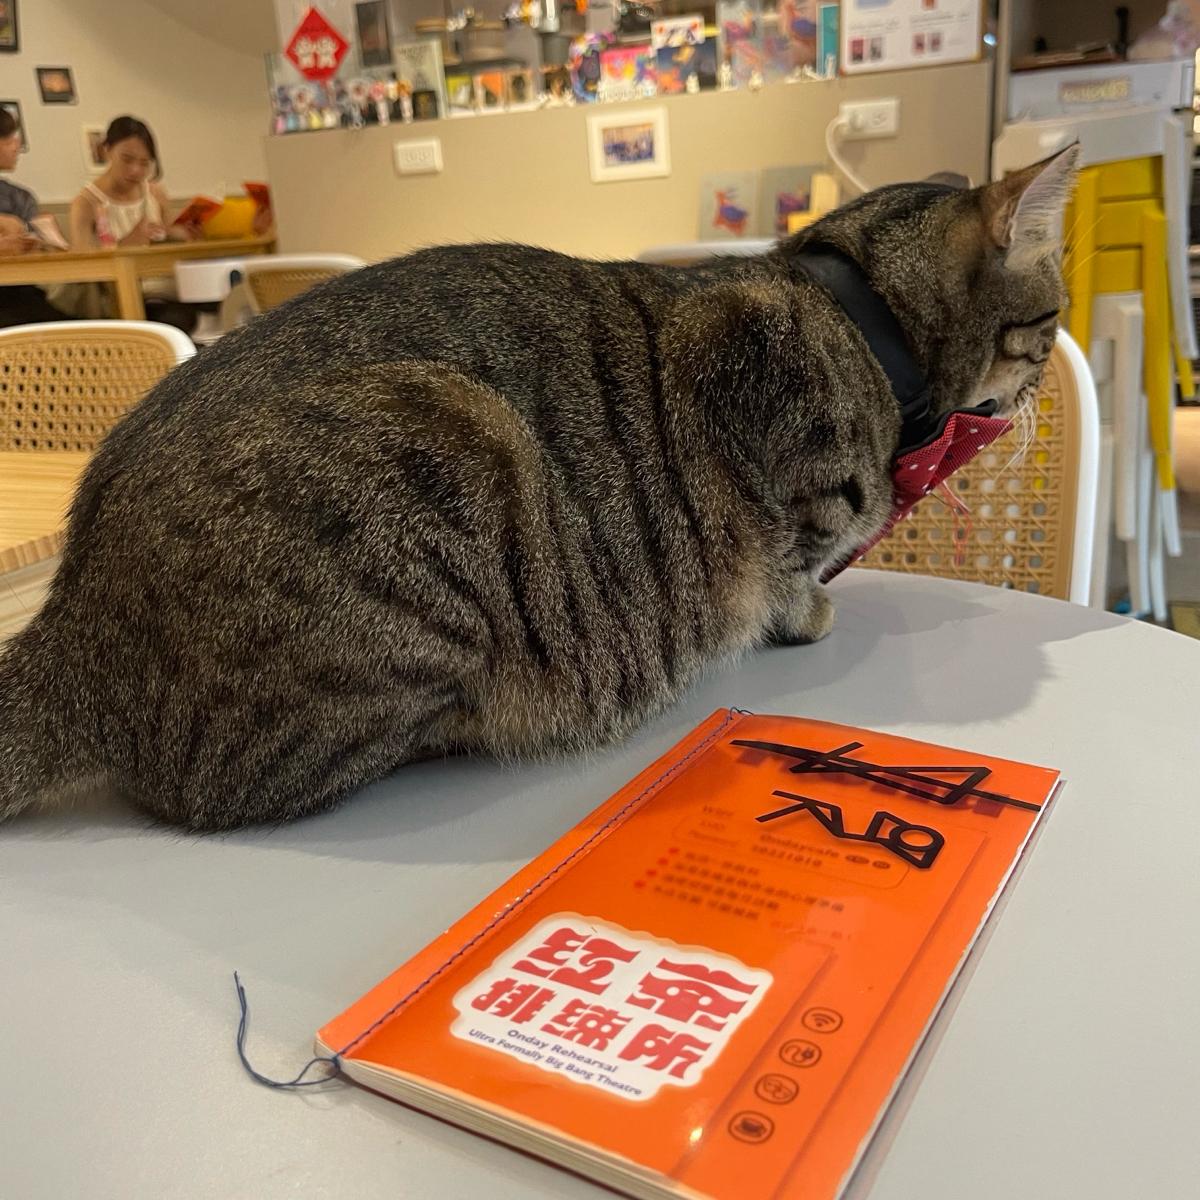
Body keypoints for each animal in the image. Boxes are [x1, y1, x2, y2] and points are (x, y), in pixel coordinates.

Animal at [0, 146, 1078, 830]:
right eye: (1055, 310)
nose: (1048, 368)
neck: (858, 316)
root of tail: (69, 628)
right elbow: (788, 571)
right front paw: (805, 609)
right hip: (448, 465)